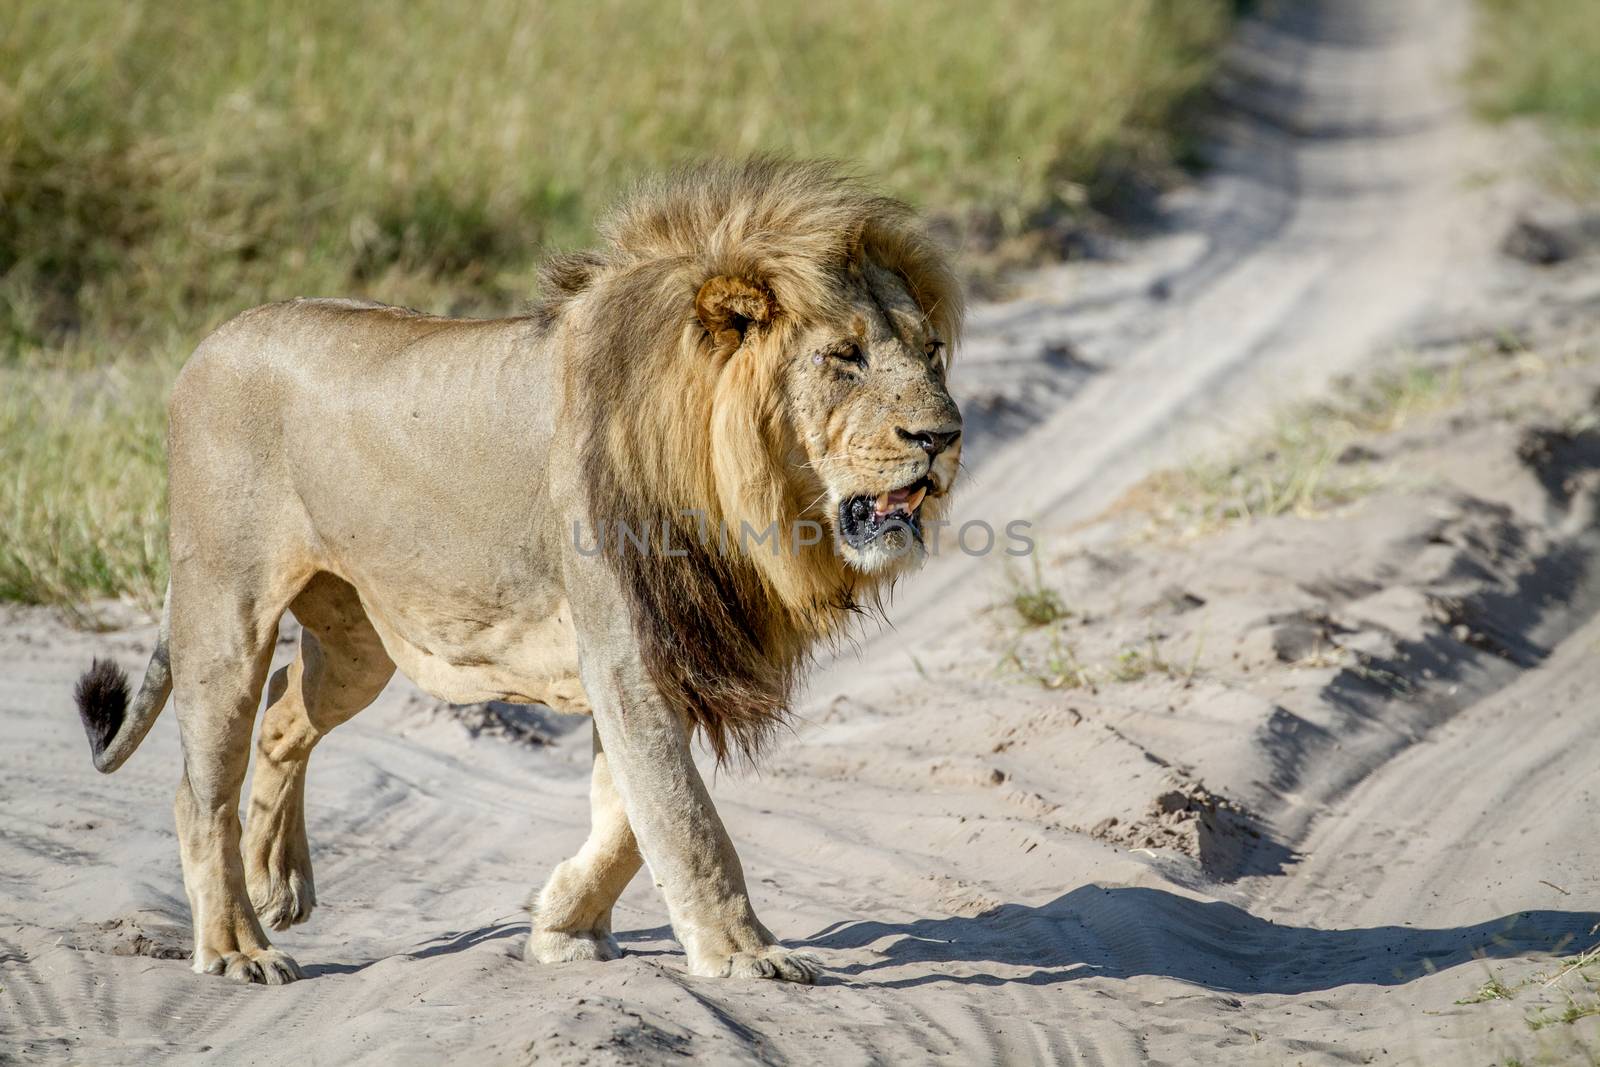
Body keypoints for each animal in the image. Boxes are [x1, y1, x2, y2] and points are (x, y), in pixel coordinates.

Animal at [75, 158, 960, 985]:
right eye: (845, 356)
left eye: (932, 353)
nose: (944, 436)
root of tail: (210, 342)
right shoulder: (628, 653)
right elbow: (685, 820)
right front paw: (746, 953)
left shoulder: (661, 655)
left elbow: (628, 817)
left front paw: (561, 923)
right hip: (224, 608)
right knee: (202, 789)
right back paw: (237, 946)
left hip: (360, 642)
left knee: (286, 706)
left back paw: (278, 879)